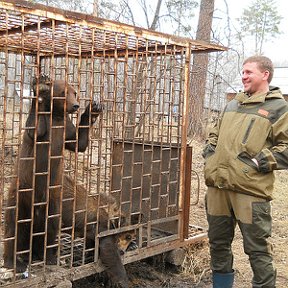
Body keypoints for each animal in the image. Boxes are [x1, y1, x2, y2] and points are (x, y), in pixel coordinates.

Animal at [3, 74, 103, 272]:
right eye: (63, 92)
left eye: (74, 92)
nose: (76, 105)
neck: (56, 117)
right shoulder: (45, 130)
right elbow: (35, 129)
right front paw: (40, 85)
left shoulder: (66, 129)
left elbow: (79, 144)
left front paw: (93, 109)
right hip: (19, 196)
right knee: (14, 229)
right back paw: (14, 262)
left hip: (54, 203)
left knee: (49, 230)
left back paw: (46, 256)